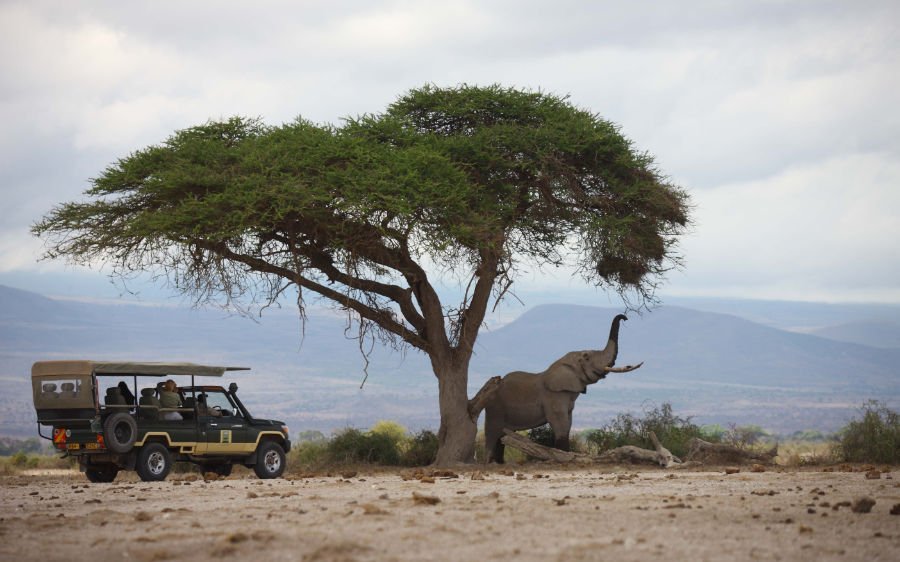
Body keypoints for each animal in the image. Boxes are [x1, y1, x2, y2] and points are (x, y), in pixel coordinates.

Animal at [486, 312, 640, 462]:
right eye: (587, 357)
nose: (625, 318)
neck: (564, 363)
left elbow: (568, 423)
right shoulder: (553, 396)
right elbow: (560, 423)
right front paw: (564, 456)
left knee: (501, 436)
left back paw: (499, 462)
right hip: (495, 406)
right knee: (493, 434)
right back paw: (491, 462)